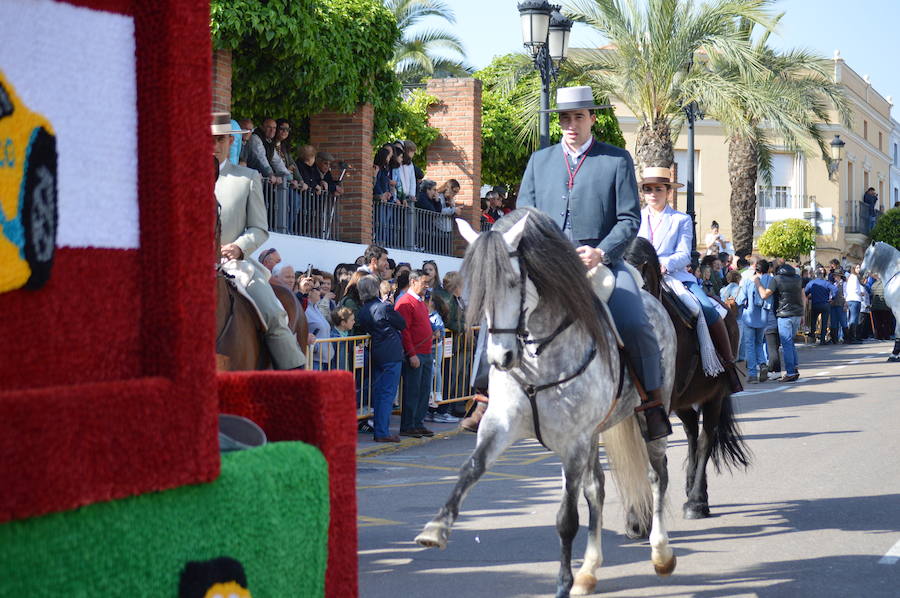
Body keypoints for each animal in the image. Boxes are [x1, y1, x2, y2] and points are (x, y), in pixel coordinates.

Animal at [414, 210, 676, 598]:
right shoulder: (502, 424)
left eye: (512, 282)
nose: (501, 357)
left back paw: (661, 554)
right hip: (593, 435)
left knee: (657, 475)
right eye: (475, 286)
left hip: (648, 417)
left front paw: (563, 582)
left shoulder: (573, 443)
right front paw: (436, 528)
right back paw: (589, 571)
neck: (539, 353)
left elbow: (567, 519)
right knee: (597, 488)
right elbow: (471, 468)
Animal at [628, 237, 748, 528]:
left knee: (705, 439)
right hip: (683, 401)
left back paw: (696, 501)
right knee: (692, 433)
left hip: (714, 396)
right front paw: (637, 518)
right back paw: (693, 484)